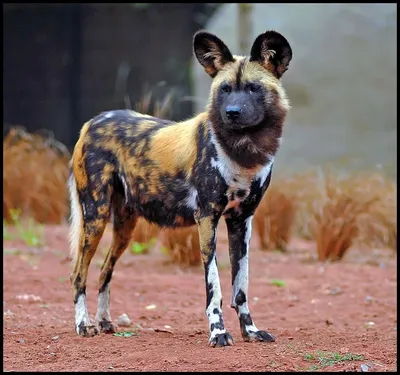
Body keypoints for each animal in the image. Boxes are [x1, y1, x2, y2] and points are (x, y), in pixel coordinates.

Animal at [69, 27, 292, 348]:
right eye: (225, 89)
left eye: (253, 88)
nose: (232, 112)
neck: (244, 152)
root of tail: (92, 121)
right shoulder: (207, 218)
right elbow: (215, 288)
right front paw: (218, 332)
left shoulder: (242, 221)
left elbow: (241, 288)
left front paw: (250, 331)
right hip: (95, 218)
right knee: (78, 273)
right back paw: (83, 324)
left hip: (125, 227)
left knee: (104, 271)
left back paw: (104, 321)